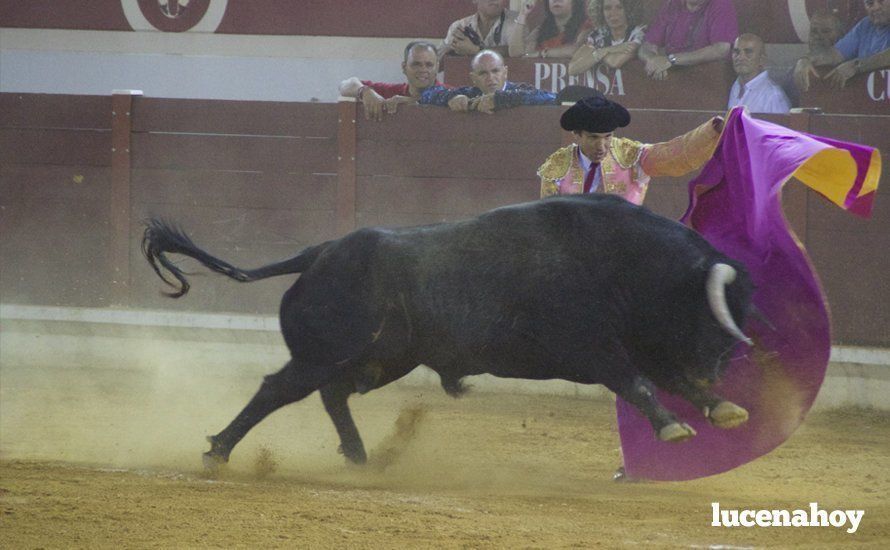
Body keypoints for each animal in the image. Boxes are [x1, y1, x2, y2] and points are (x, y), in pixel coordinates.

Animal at [142, 194, 752, 470]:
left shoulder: (638, 346)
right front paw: (675, 428)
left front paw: (723, 408)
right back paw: (219, 451)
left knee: (331, 394)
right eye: (713, 318)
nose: (719, 370)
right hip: (325, 354)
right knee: (278, 389)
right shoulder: (596, 351)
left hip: (382, 360)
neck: (626, 262)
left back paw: (360, 457)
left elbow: (665, 378)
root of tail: (320, 252)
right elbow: (640, 383)